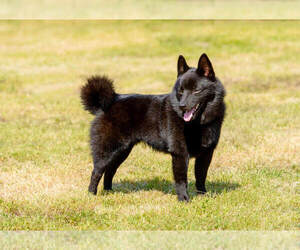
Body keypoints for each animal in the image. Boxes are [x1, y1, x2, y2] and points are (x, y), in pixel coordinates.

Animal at [81, 53, 226, 201]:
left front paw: (203, 195)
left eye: (196, 90)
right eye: (181, 91)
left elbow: (201, 177)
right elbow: (181, 180)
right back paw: (91, 194)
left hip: (122, 151)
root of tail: (109, 102)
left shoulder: (206, 153)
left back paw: (109, 191)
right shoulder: (179, 153)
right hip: (108, 150)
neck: (198, 123)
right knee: (97, 171)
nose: (182, 106)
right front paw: (183, 199)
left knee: (110, 170)